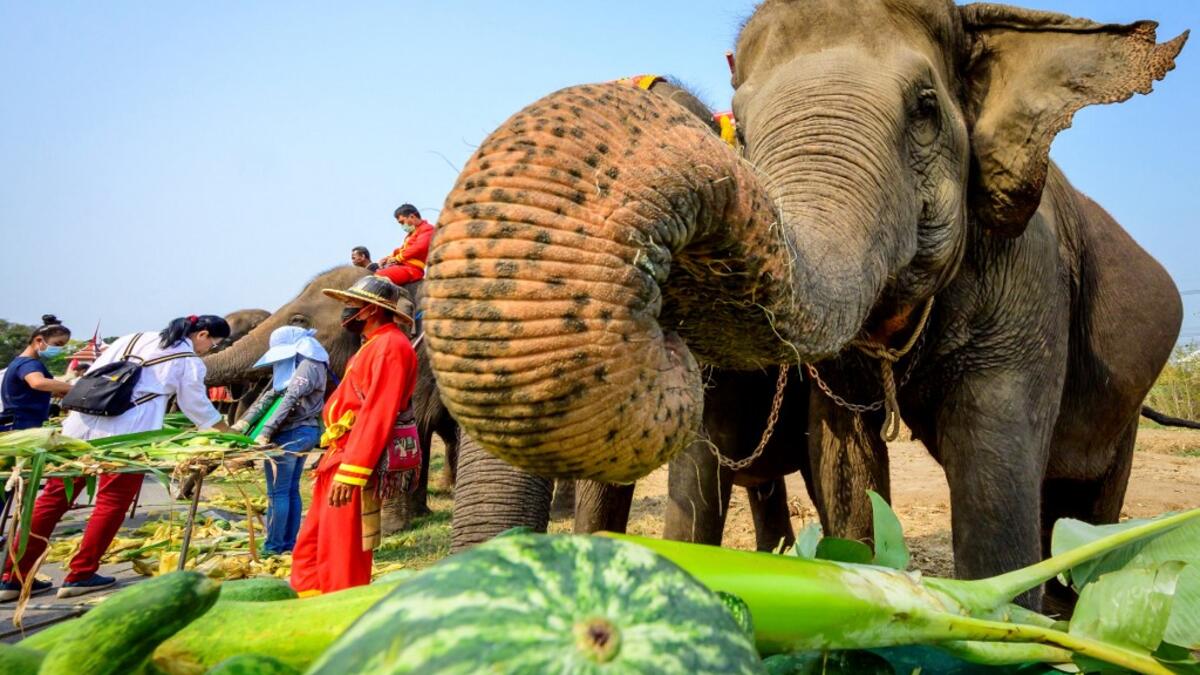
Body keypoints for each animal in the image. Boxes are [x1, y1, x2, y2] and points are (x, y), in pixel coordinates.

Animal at [422, 0, 1186, 609]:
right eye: (744, 125)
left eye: (926, 108)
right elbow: (836, 461)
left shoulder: (1027, 277)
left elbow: (993, 477)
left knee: (1085, 502)